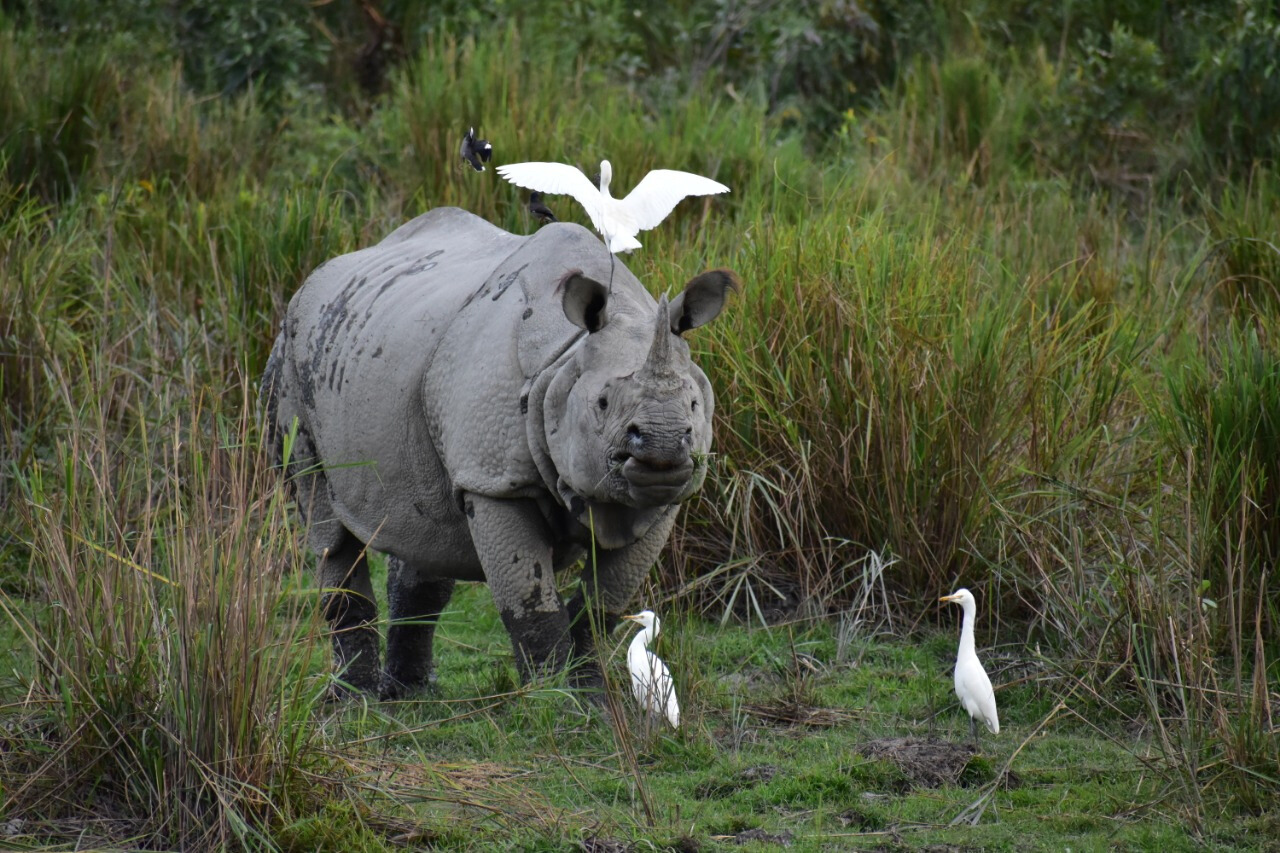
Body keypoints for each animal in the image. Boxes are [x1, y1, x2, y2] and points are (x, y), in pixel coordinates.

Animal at [261, 206, 736, 698]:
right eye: (603, 403)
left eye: (695, 405)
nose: (663, 445)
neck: (564, 360)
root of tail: (311, 283)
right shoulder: (494, 479)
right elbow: (530, 607)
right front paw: (556, 701)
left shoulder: (662, 502)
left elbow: (602, 605)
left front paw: (591, 695)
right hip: (290, 360)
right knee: (327, 527)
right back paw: (355, 699)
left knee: (425, 527)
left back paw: (409, 694)